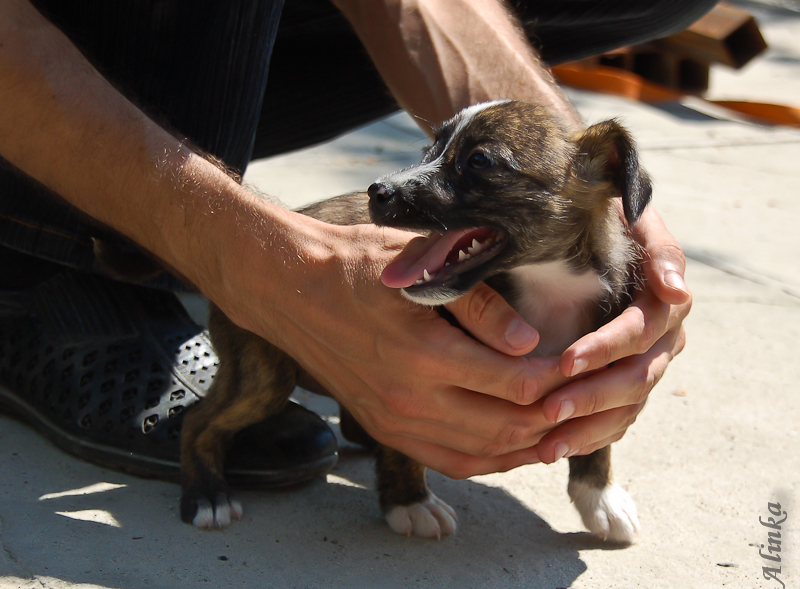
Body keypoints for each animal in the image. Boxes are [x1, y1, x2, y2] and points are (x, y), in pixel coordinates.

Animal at [180, 100, 648, 544]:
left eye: (479, 161)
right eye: (430, 149)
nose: (378, 190)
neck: (548, 284)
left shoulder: (598, 364)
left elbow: (598, 439)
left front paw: (599, 497)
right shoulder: (407, 380)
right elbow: (402, 441)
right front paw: (410, 501)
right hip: (261, 375)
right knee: (199, 421)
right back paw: (207, 496)